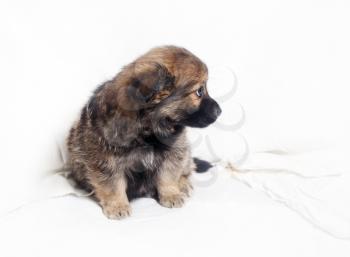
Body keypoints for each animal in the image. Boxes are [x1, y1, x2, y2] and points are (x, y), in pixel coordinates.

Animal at [67, 46, 221, 218]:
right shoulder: (105, 161)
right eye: (199, 91)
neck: (148, 129)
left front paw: (171, 194)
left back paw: (183, 183)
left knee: (189, 167)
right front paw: (118, 205)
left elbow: (168, 176)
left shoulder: (174, 152)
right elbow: (112, 185)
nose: (219, 111)